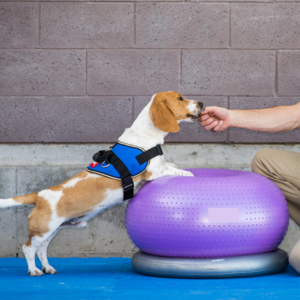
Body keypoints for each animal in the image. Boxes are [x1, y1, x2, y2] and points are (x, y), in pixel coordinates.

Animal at [0, 91, 203, 276]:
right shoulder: (154, 172)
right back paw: (33, 270)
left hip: (52, 230)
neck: (145, 134)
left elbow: (171, 165)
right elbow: (175, 170)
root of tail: (39, 195)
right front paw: (189, 174)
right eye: (180, 98)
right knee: (28, 248)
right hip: (43, 230)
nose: (201, 103)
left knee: (41, 249)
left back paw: (47, 268)